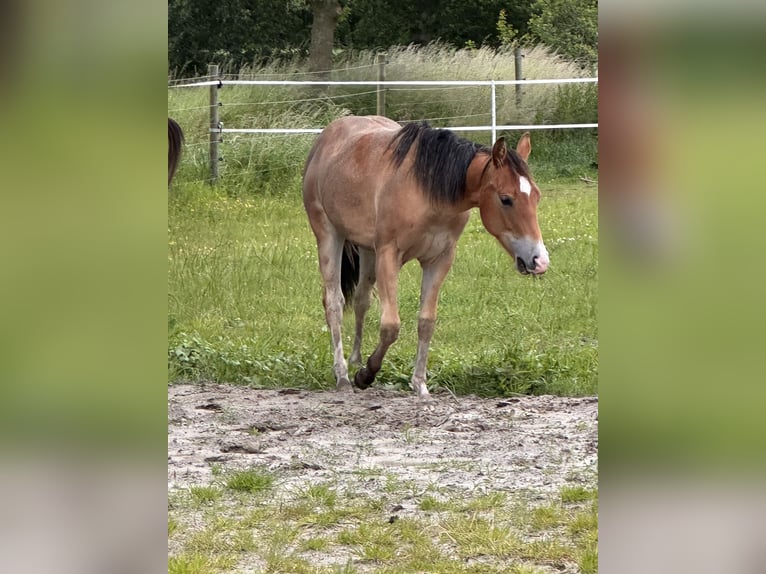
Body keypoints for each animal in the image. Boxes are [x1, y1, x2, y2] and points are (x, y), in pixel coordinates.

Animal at [302, 115, 549, 398]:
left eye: (537, 196)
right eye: (506, 199)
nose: (539, 260)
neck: (429, 190)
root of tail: (327, 137)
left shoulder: (439, 261)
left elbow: (426, 322)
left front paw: (419, 385)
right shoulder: (389, 256)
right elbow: (391, 326)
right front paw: (366, 375)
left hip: (366, 249)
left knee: (362, 300)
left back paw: (355, 359)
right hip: (329, 236)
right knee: (334, 303)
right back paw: (343, 375)